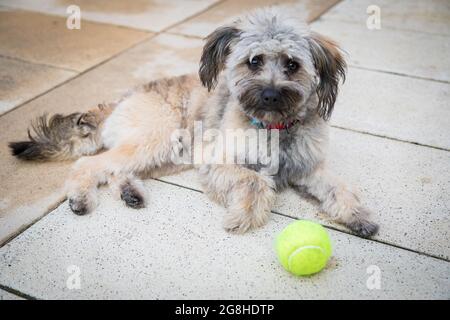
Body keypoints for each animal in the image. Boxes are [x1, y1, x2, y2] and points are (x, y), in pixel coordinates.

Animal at [9, 8, 380, 238]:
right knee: (90, 164)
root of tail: (124, 96)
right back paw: (81, 198)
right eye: (254, 61)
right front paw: (242, 217)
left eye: (292, 64)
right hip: (158, 139)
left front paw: (359, 216)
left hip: (168, 154)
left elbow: (340, 187)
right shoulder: (215, 160)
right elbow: (256, 181)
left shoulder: (309, 168)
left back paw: (130, 192)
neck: (274, 128)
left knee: (115, 170)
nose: (271, 95)